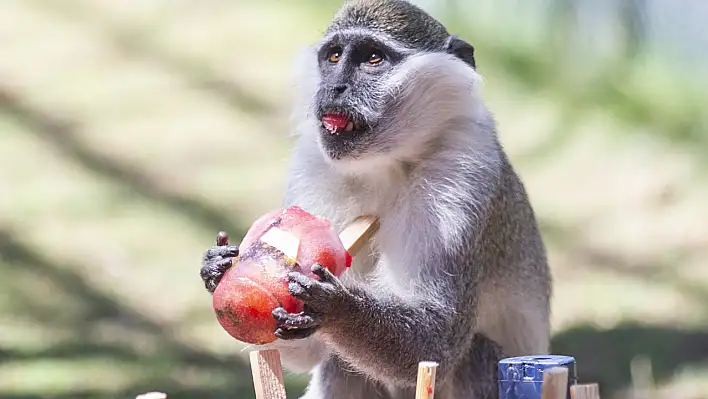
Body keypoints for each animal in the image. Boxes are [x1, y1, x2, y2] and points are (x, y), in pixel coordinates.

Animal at [199, 1, 552, 398]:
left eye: (373, 58)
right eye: (334, 56)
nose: (334, 87)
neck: (388, 164)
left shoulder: (461, 178)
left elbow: (439, 341)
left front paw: (335, 306)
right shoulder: (312, 169)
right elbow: (301, 347)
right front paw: (217, 267)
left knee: (474, 352)